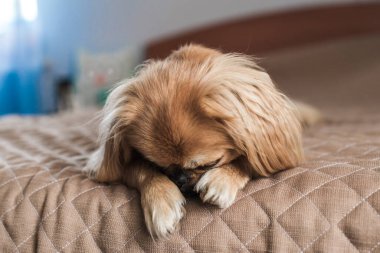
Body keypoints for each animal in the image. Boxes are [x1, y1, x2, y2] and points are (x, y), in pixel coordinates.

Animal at [84, 44, 320, 238]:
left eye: (210, 164)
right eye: (157, 165)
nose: (179, 179)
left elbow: (247, 159)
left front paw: (221, 180)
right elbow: (143, 172)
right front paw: (162, 203)